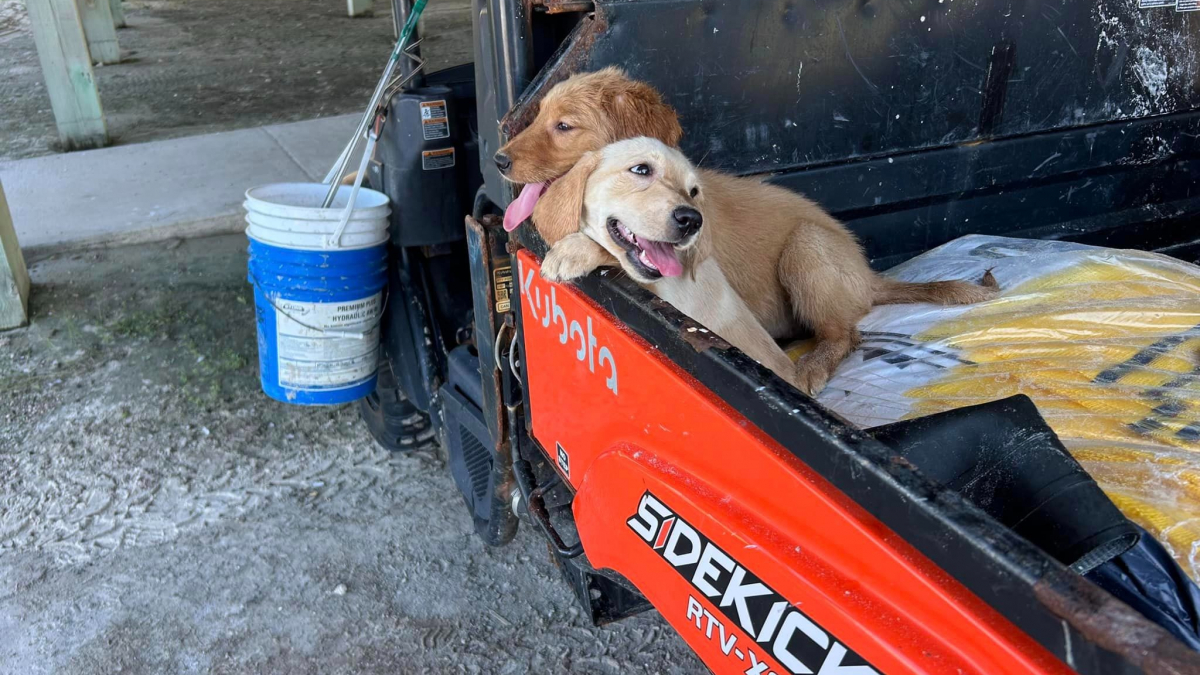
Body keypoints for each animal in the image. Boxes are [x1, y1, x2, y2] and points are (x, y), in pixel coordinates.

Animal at [496, 65, 993, 391]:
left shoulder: (688, 267)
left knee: (845, 334)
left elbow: (624, 247)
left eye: (564, 125)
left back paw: (809, 369)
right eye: (538, 117)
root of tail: (870, 276)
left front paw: (573, 250)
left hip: (807, 246)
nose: (498, 160)